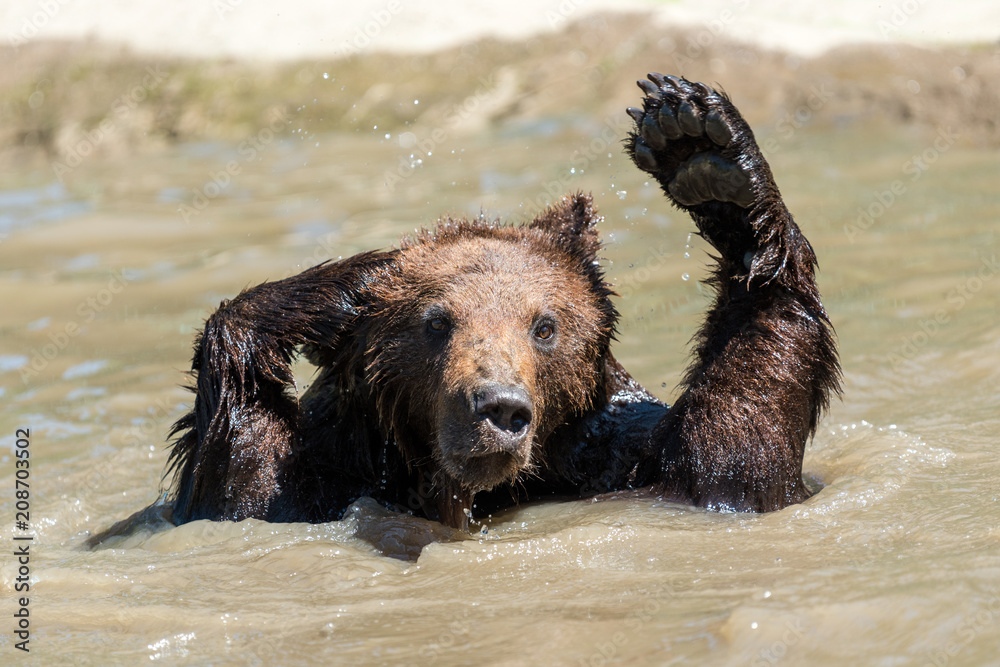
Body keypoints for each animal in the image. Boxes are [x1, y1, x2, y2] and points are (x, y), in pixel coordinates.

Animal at [154, 73, 840, 534]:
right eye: (435, 322)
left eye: (545, 326)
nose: (499, 408)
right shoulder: (330, 474)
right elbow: (244, 482)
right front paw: (348, 286)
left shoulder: (613, 456)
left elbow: (728, 463)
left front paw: (702, 148)